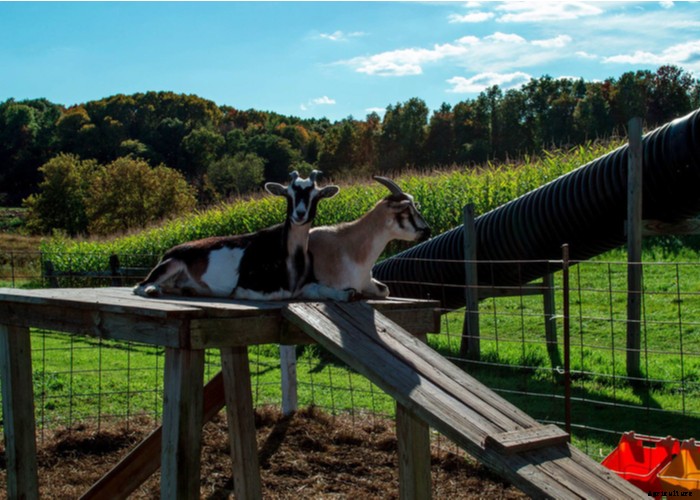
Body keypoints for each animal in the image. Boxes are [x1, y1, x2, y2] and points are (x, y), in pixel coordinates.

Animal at [133, 170, 351, 301]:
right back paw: (152, 290)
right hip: (170, 264)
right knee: (139, 285)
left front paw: (346, 294)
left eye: (316, 196)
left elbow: (322, 289)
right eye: (288, 194)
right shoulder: (249, 288)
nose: (300, 214)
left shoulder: (304, 284)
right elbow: (281, 294)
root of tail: (169, 251)